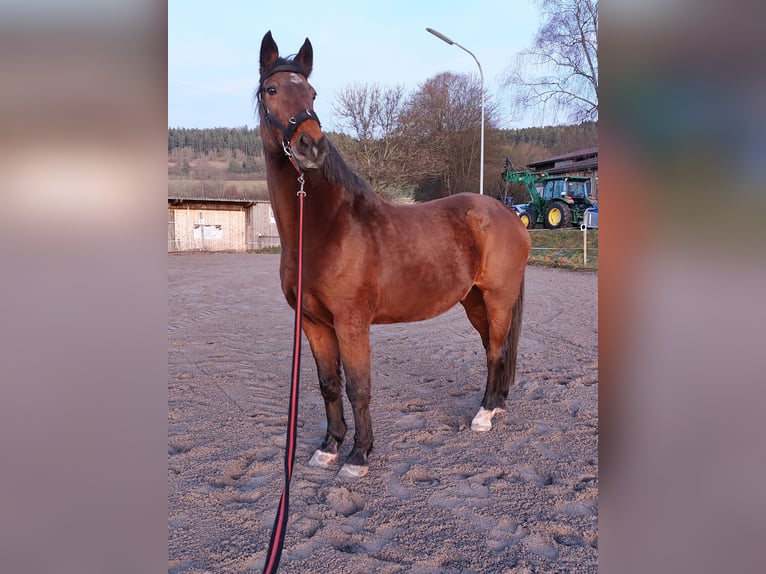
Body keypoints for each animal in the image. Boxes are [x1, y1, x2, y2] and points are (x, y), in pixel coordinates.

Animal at [258, 32, 536, 482]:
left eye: (312, 93)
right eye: (272, 89)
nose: (311, 146)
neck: (325, 228)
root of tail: (509, 214)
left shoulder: (351, 323)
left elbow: (358, 387)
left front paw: (359, 456)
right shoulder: (314, 323)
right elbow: (328, 384)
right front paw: (328, 449)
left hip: (497, 299)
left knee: (496, 350)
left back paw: (483, 417)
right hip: (475, 302)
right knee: (492, 351)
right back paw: (494, 406)